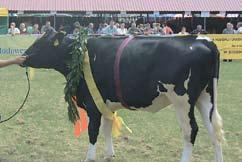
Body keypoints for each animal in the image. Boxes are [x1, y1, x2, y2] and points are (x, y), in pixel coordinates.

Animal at [21, 29, 224, 161]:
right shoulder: (106, 102)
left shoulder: (92, 104)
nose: (23, 56)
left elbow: (93, 131)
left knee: (191, 130)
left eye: (41, 44)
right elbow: (107, 127)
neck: (79, 53)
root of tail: (204, 40)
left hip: (183, 100)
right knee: (214, 130)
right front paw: (109, 154)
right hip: (206, 97)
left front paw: (90, 157)